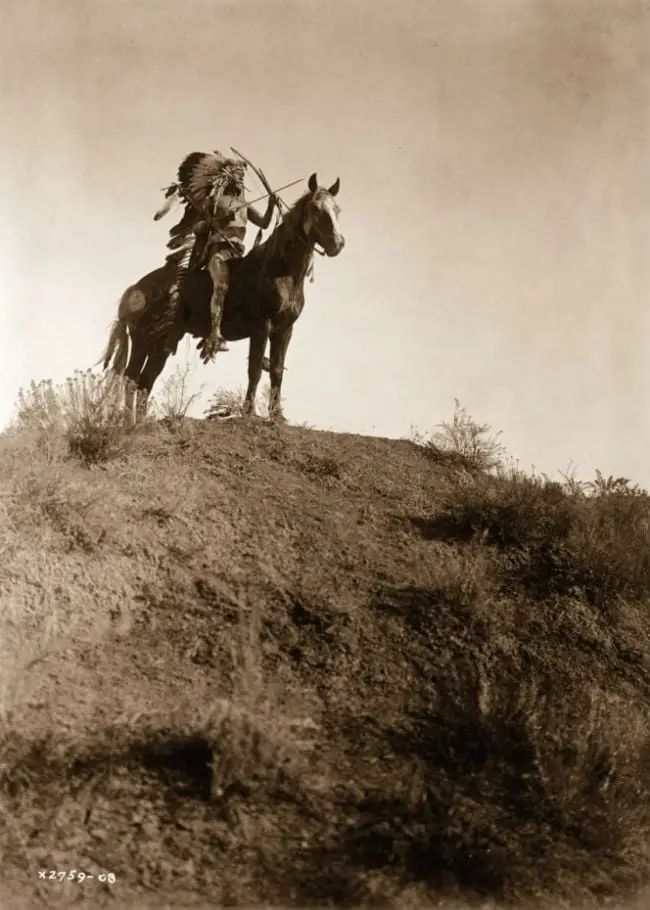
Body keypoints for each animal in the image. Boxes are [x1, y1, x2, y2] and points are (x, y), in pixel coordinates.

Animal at [100, 173, 344, 422]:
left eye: (337, 209)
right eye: (315, 208)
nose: (337, 243)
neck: (279, 270)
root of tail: (134, 289)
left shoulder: (284, 329)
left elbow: (276, 370)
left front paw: (277, 416)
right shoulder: (262, 326)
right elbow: (255, 368)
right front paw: (249, 412)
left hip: (162, 342)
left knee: (145, 380)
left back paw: (140, 421)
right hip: (142, 340)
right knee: (131, 377)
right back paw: (128, 422)